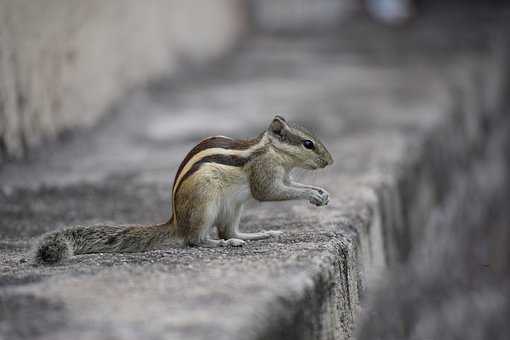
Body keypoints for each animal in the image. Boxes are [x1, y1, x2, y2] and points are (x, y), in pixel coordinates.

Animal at [33, 117, 332, 266]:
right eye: (308, 144)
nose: (330, 162)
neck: (273, 152)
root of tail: (176, 221)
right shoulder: (264, 173)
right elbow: (268, 193)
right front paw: (311, 195)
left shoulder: (284, 176)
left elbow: (292, 186)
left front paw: (320, 191)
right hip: (205, 205)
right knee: (195, 240)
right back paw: (221, 244)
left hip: (233, 208)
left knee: (228, 230)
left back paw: (256, 234)